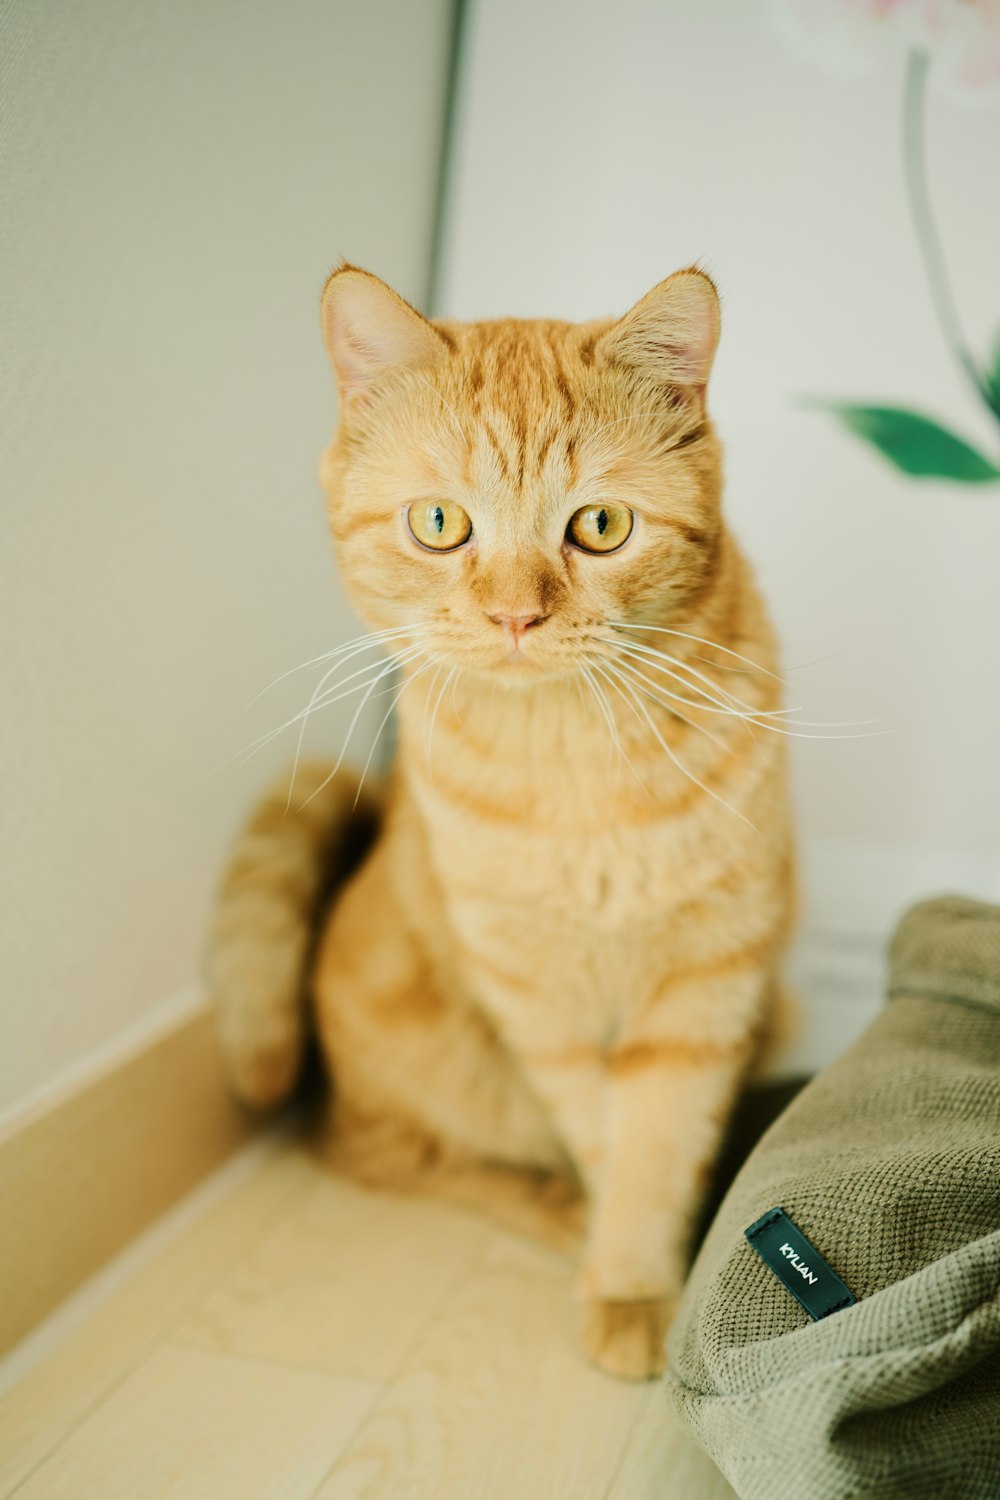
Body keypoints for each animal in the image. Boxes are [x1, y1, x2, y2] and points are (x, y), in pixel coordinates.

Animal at [206, 264, 791, 1374]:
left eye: (599, 526)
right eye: (439, 523)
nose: (516, 614)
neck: (571, 764)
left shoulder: (707, 984)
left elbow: (660, 1141)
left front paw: (650, 1267)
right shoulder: (536, 997)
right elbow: (610, 1142)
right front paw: (628, 1277)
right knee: (398, 1156)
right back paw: (555, 1207)